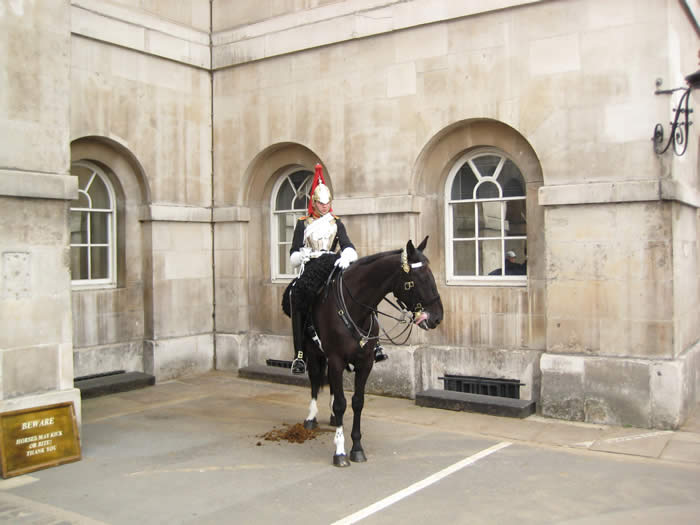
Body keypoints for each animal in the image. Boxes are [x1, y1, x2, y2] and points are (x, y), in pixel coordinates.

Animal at [300, 235, 442, 464]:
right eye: (416, 279)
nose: (437, 317)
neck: (355, 309)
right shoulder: (336, 359)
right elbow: (341, 403)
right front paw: (340, 451)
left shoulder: (365, 362)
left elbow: (357, 402)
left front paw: (357, 447)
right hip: (313, 351)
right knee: (314, 381)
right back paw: (311, 417)